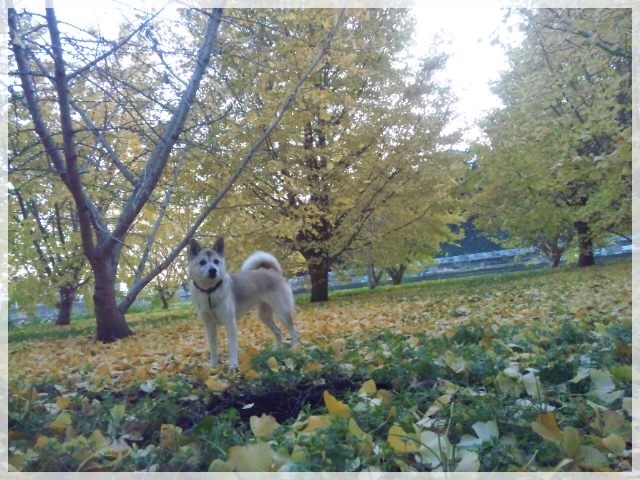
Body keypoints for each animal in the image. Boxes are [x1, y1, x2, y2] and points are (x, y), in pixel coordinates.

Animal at [188, 237, 299, 369]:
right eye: (202, 262)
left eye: (216, 261)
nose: (213, 270)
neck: (210, 292)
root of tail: (272, 271)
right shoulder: (209, 326)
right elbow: (213, 348)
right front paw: (213, 367)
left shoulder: (230, 323)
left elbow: (232, 347)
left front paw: (233, 366)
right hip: (264, 315)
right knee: (278, 331)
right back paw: (277, 351)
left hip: (282, 312)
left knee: (293, 331)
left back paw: (294, 349)